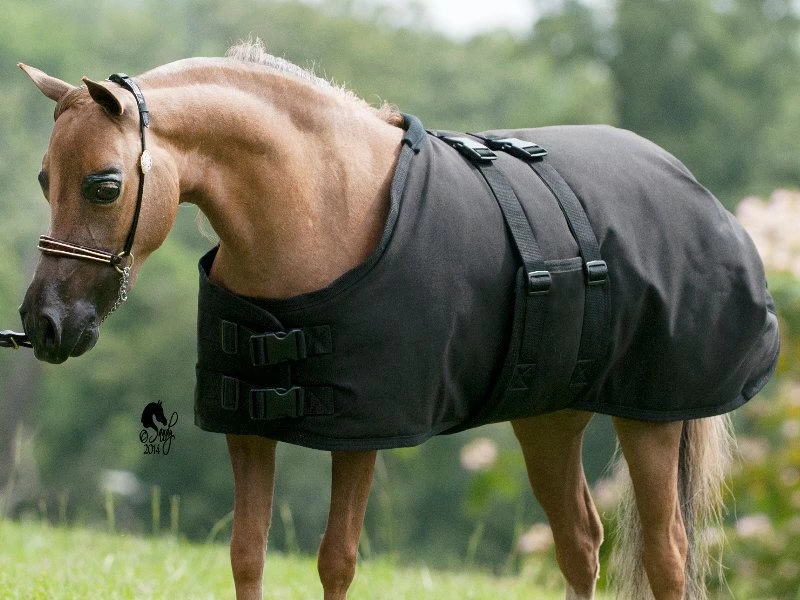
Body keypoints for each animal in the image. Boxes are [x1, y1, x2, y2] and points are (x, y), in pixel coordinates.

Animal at [15, 41, 778, 600]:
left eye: (105, 184)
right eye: (43, 180)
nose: (45, 323)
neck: (317, 206)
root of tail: (692, 185)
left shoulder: (364, 432)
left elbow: (337, 560)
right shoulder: (246, 426)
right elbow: (246, 554)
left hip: (652, 419)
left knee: (666, 554)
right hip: (550, 417)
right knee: (580, 542)